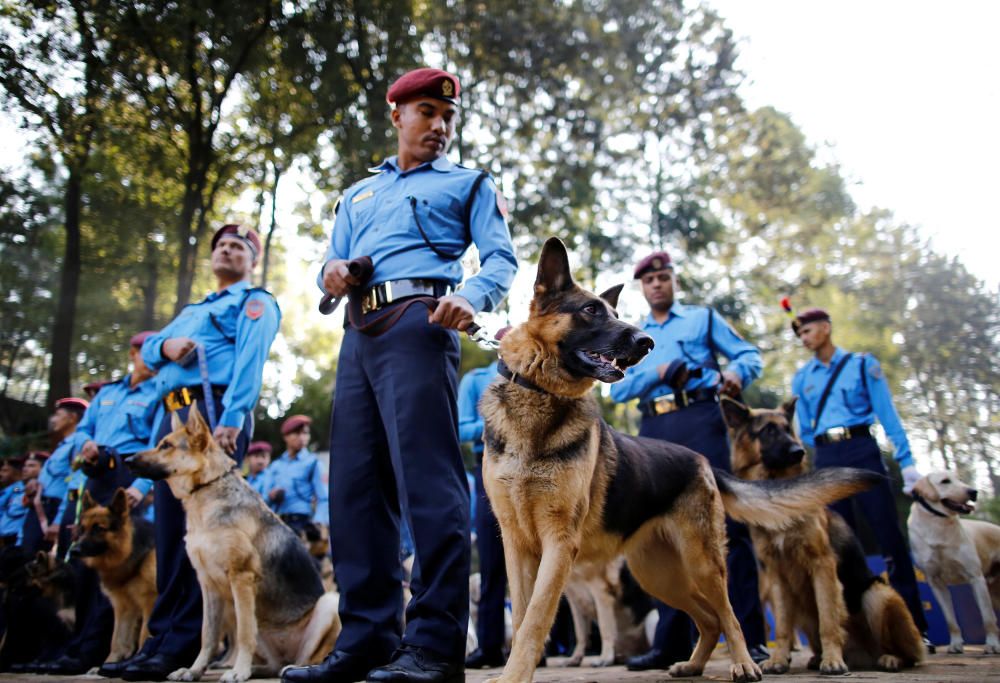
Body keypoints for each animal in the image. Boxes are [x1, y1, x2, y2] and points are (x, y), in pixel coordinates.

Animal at [77, 488, 158, 664]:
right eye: (82, 529)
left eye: (99, 528)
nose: (74, 550)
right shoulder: (125, 606)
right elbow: (117, 640)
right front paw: (110, 663)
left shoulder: (150, 601)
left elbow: (144, 634)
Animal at [127, 408, 338, 680]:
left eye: (166, 445)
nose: (127, 460)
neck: (204, 490)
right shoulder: (208, 585)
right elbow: (207, 635)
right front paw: (194, 670)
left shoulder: (241, 578)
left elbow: (243, 634)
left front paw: (238, 672)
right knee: (274, 663)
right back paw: (258, 669)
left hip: (328, 603)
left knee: (307, 657)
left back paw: (300, 669)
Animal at [484, 238, 884, 680]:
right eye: (590, 310)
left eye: (615, 314)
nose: (647, 342)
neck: (540, 396)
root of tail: (703, 461)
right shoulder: (518, 546)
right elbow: (523, 616)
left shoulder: (559, 542)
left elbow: (535, 619)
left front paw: (514, 674)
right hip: (660, 576)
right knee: (707, 620)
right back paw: (692, 664)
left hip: (703, 563)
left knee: (729, 615)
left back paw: (746, 663)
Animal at [720, 398, 920, 672]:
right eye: (769, 431)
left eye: (788, 429)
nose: (798, 452)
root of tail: (863, 656)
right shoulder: (777, 576)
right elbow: (782, 627)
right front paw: (778, 659)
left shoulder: (822, 564)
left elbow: (828, 619)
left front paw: (832, 659)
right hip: (802, 608)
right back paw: (816, 657)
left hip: (877, 594)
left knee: (910, 652)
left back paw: (889, 657)